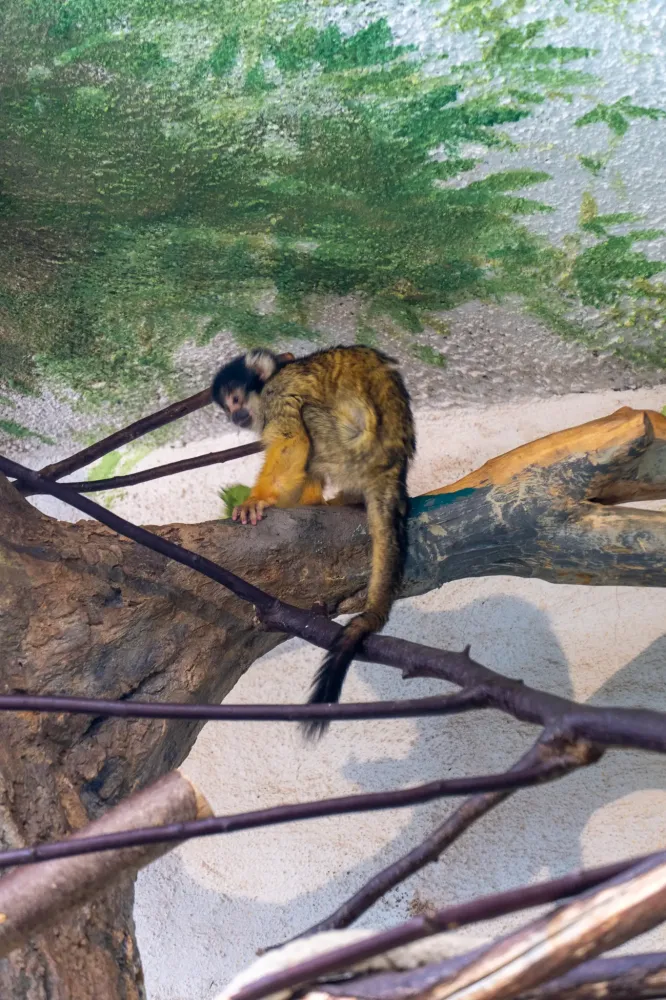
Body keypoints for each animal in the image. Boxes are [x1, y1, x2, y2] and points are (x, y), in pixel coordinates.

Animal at [212, 345, 415, 740]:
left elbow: (292, 440)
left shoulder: (280, 395)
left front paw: (257, 500)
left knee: (308, 419)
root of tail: (389, 467)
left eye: (235, 400)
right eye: (226, 408)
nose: (235, 417)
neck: (271, 382)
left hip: (348, 452)